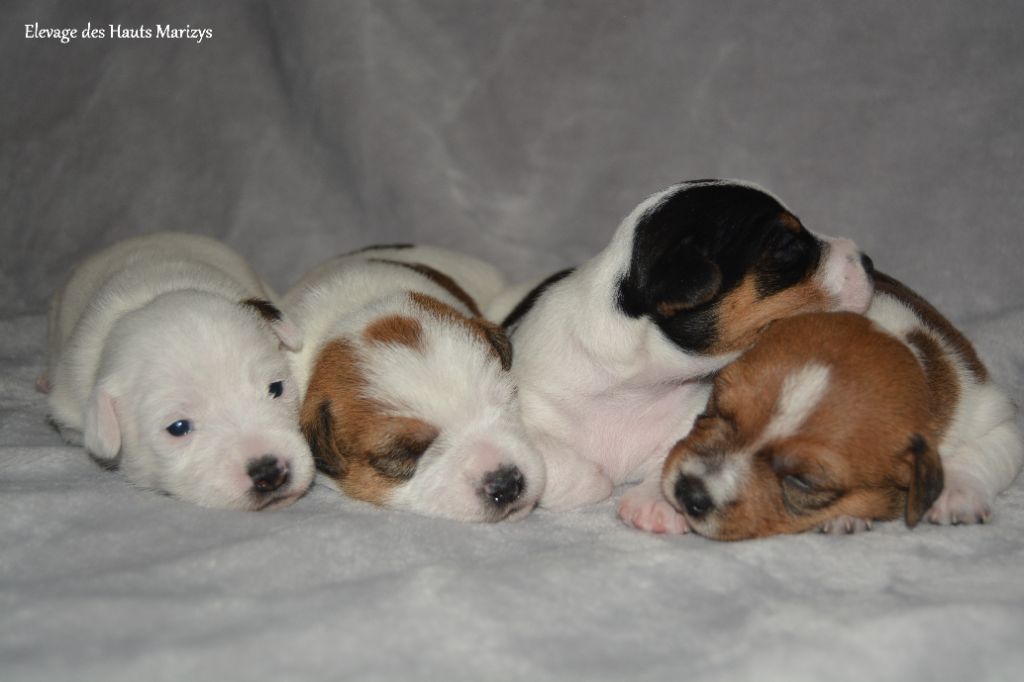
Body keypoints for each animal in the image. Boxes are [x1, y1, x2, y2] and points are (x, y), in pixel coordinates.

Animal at [663, 270, 1024, 536]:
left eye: (804, 480)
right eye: (717, 407)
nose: (689, 493)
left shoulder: (993, 413)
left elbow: (985, 451)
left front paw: (956, 494)